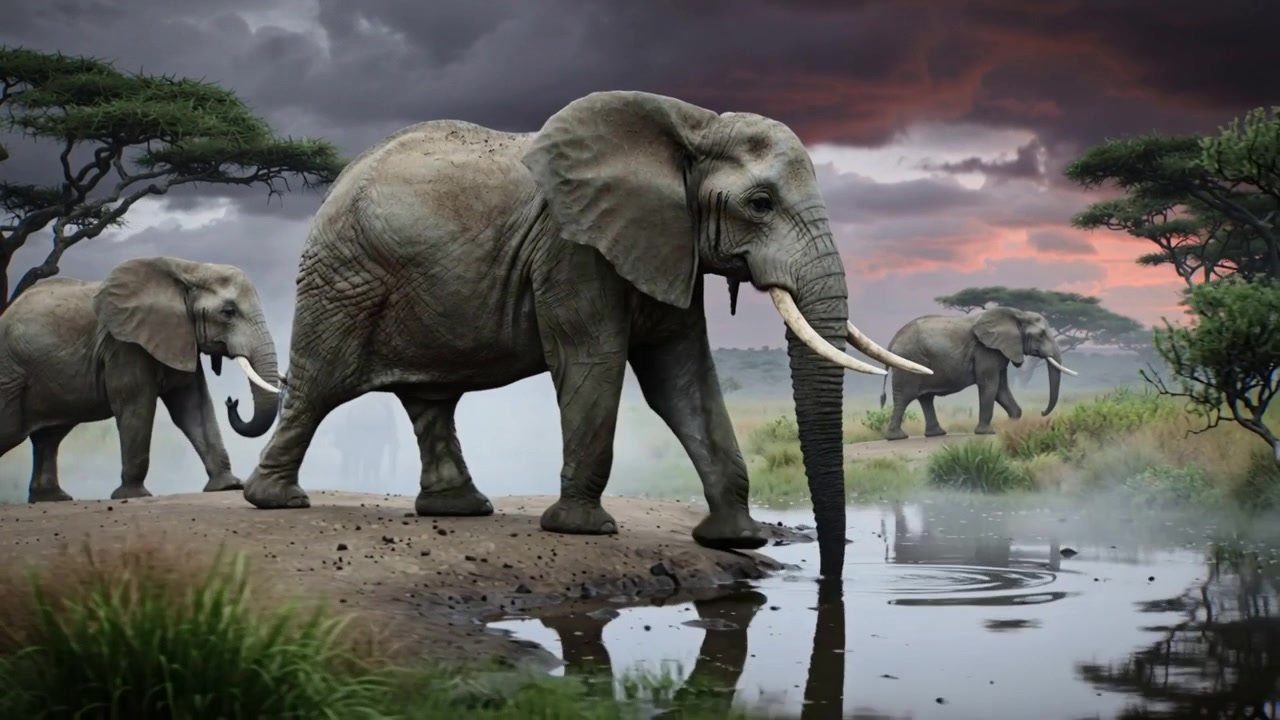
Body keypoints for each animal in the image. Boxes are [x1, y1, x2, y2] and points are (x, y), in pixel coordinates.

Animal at [0, 256, 282, 502]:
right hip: (10, 373)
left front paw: (227, 486)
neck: (188, 269)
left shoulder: (179, 337)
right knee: (13, 430)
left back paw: (52, 498)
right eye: (228, 312)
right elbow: (137, 405)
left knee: (49, 437)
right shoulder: (124, 345)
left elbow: (194, 407)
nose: (232, 401)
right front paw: (133, 495)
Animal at [242, 90, 932, 579]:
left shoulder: (665, 245)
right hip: (343, 276)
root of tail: (339, 179)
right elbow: (595, 363)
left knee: (429, 399)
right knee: (320, 383)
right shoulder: (573, 250)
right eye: (759, 204)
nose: (831, 580)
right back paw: (275, 501)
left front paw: (735, 539)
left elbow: (682, 379)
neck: (691, 127)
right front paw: (580, 529)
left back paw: (460, 509)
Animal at [877, 306, 1078, 441]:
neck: (1016, 314)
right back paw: (897, 437)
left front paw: (1013, 423)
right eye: (1041, 335)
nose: (1043, 412)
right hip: (909, 361)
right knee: (905, 397)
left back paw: (936, 434)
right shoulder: (985, 351)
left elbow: (1001, 388)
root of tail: (893, 340)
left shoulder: (1000, 350)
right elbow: (989, 385)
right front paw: (987, 432)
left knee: (926, 398)